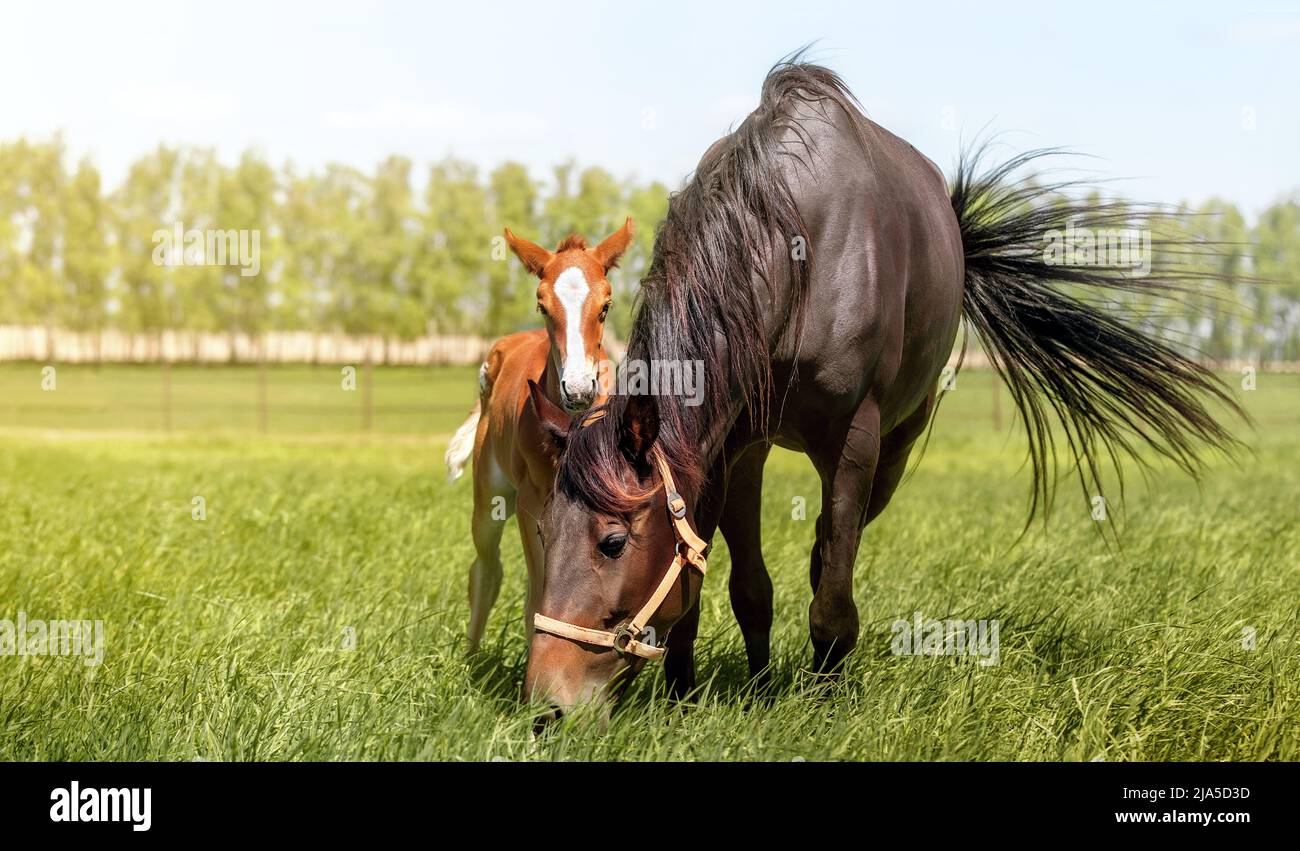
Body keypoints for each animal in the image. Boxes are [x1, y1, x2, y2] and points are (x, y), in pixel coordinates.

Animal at [444, 219, 634, 650]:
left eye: (606, 306)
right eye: (542, 305)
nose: (578, 389)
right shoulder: (533, 503)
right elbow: (538, 598)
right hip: (490, 496)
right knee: (486, 570)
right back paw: (470, 655)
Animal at [521, 60, 1243, 723]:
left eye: (613, 542)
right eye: (544, 529)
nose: (546, 706)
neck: (797, 250)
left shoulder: (854, 444)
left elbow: (833, 596)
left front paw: (825, 699)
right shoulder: (723, 448)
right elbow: (721, 583)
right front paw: (693, 695)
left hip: (896, 447)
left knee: (829, 554)